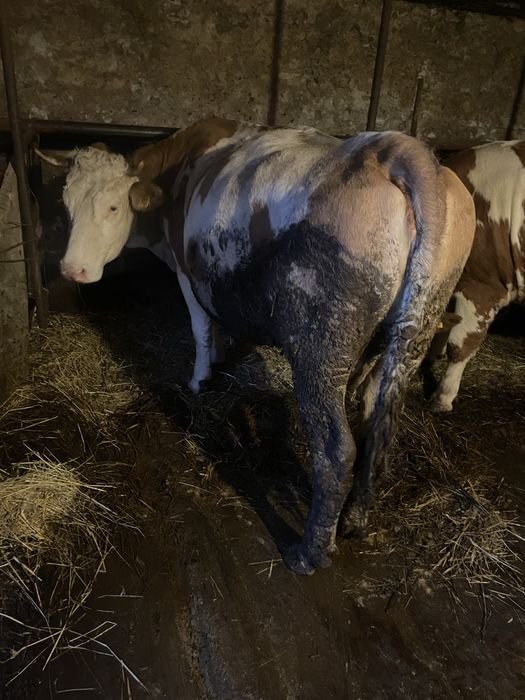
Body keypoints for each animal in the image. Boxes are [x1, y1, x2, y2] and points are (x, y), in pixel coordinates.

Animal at [36, 117, 475, 574]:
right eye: (65, 206)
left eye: (112, 206)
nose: (72, 269)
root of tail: (393, 148)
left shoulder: (189, 273)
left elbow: (200, 328)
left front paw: (200, 379)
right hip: (414, 327)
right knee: (377, 427)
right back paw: (354, 520)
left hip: (322, 344)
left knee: (336, 450)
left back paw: (307, 553)